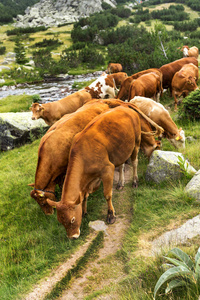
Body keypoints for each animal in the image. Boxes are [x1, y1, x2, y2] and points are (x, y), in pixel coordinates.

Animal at [47, 105, 164, 239]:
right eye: (60, 221)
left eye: (72, 219)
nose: (73, 237)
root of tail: (124, 106)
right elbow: (84, 197)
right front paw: (84, 211)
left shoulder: (107, 170)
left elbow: (107, 195)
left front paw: (111, 215)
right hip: (120, 150)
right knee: (121, 165)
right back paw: (120, 183)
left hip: (136, 142)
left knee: (134, 162)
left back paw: (135, 181)